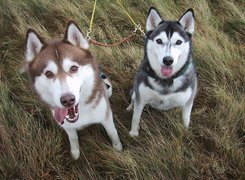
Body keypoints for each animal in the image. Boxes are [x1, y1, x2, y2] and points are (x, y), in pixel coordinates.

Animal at [23, 21, 121, 160]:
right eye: (48, 73)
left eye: (73, 68)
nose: (67, 100)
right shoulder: (67, 126)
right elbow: (73, 138)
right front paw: (75, 152)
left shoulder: (106, 116)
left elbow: (112, 133)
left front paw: (118, 148)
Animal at [127, 7, 198, 136]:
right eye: (159, 41)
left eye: (178, 42)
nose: (168, 60)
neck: (166, 80)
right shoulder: (141, 97)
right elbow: (136, 117)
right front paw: (133, 133)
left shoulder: (188, 102)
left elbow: (186, 119)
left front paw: (185, 134)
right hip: (136, 91)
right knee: (133, 98)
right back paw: (129, 108)